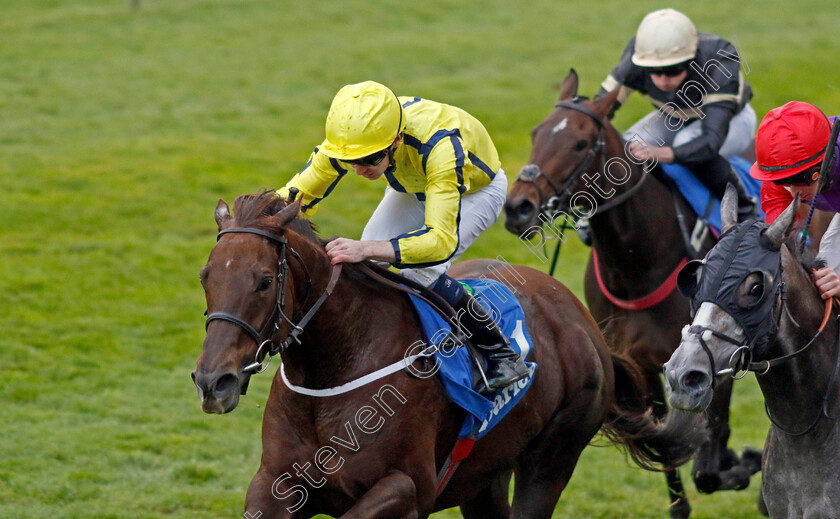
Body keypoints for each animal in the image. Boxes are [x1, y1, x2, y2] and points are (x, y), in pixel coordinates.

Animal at [190, 191, 704, 519]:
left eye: (263, 281)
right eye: (205, 275)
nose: (213, 382)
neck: (333, 371)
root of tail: (580, 318)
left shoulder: (408, 488)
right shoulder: (276, 484)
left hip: (553, 456)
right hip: (484, 476)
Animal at [502, 70, 764, 519]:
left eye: (580, 143)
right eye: (536, 132)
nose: (518, 207)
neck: (637, 265)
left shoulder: (714, 360)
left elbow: (708, 466)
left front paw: (745, 462)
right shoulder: (646, 368)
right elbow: (672, 457)